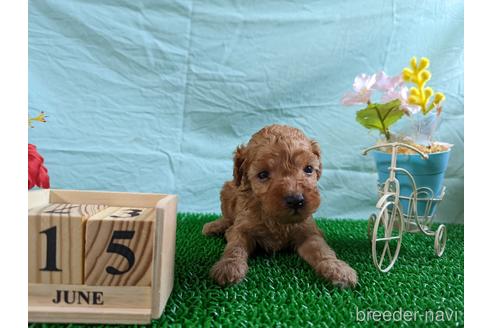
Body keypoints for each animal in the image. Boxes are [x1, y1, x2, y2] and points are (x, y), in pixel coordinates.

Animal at [203, 124, 358, 288]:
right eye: (263, 175)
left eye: (309, 169)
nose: (296, 200)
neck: (277, 220)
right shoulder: (240, 228)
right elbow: (235, 246)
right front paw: (229, 266)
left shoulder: (308, 232)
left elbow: (322, 249)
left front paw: (337, 268)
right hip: (227, 190)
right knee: (227, 218)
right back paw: (214, 226)